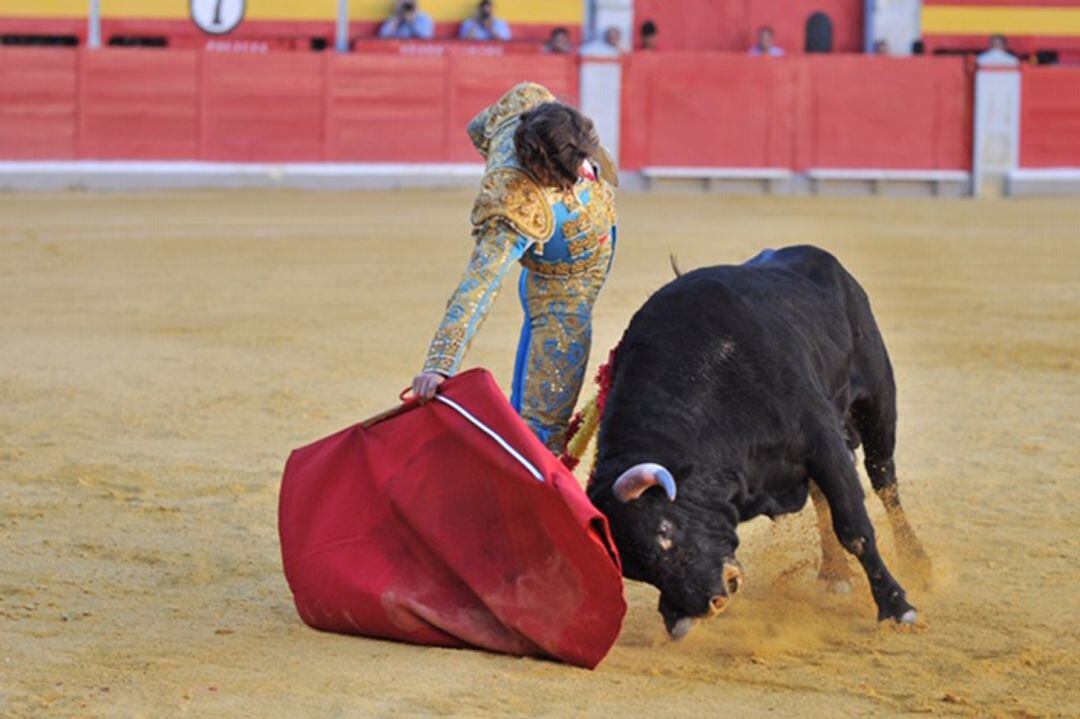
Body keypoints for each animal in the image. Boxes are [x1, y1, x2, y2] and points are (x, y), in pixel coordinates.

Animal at [587, 245, 933, 634]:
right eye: (638, 571)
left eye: (664, 529)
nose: (707, 603)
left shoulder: (823, 442)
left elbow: (854, 528)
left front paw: (897, 607)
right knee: (823, 500)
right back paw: (835, 575)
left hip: (877, 400)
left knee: (884, 480)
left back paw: (916, 561)